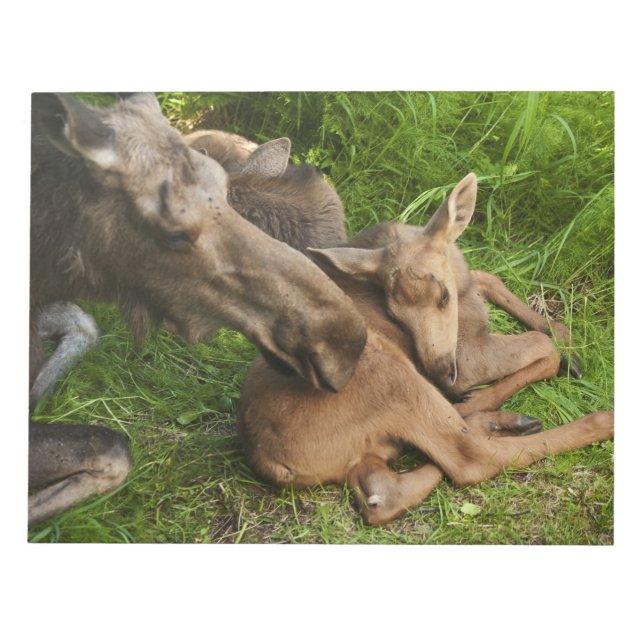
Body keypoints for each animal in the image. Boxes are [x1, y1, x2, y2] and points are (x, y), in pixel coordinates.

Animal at [237, 172, 614, 525]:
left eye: (443, 296)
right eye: (394, 313)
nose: (440, 371)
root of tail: (268, 460)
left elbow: (489, 276)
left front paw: (560, 328)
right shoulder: (469, 356)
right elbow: (543, 346)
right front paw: (565, 353)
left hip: (362, 452)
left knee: (384, 496)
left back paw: (491, 420)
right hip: (388, 372)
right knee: (470, 458)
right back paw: (594, 420)